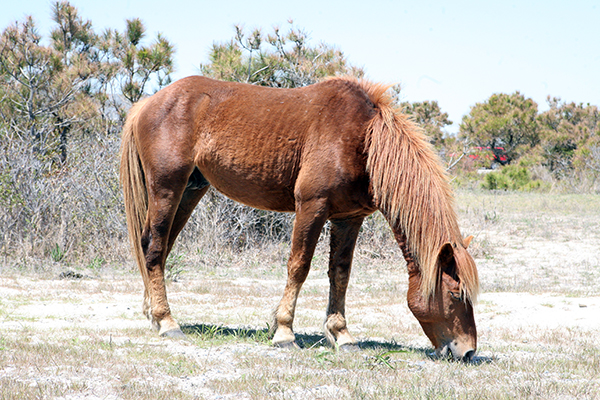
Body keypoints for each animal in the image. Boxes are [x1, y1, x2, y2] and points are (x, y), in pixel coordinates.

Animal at [119, 74, 480, 360]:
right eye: (455, 294)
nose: (468, 351)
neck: (362, 139)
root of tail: (149, 102)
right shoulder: (311, 207)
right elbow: (299, 267)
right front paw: (284, 333)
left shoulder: (349, 218)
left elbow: (340, 274)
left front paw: (341, 335)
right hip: (167, 188)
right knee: (153, 247)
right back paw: (166, 321)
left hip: (190, 190)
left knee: (160, 247)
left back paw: (152, 313)